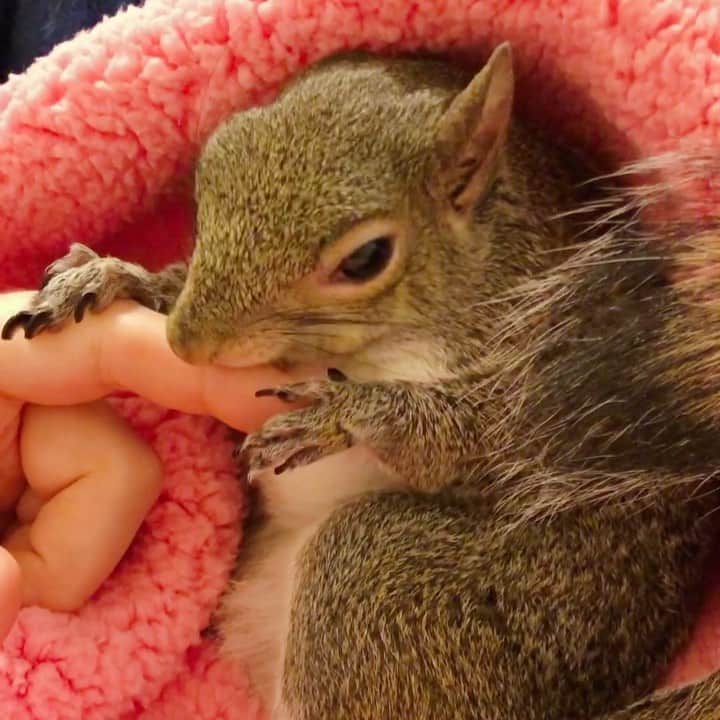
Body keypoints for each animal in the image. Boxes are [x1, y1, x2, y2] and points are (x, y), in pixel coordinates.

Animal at [5, 43, 720, 720]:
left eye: (367, 258)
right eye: (210, 165)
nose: (188, 342)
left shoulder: (556, 375)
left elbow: (477, 440)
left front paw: (347, 412)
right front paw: (113, 277)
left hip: (382, 578)